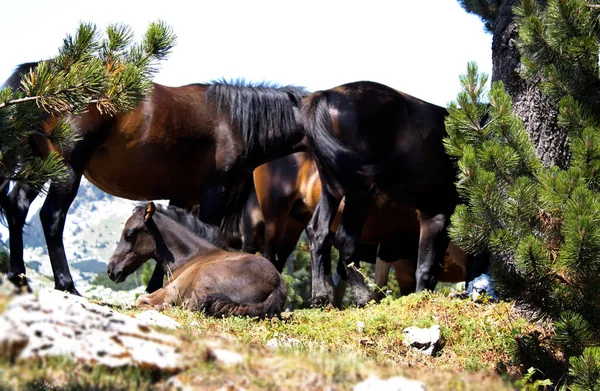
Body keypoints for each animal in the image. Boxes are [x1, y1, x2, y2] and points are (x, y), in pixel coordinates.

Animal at [0, 60, 308, 294]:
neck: (232, 122)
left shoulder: (183, 197)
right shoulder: (213, 195)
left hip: (39, 164)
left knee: (17, 207)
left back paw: (18, 277)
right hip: (67, 168)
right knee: (52, 216)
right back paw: (66, 285)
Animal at [107, 204, 286, 320]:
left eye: (129, 234)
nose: (111, 270)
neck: (190, 257)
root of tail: (276, 286)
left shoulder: (169, 291)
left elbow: (141, 300)